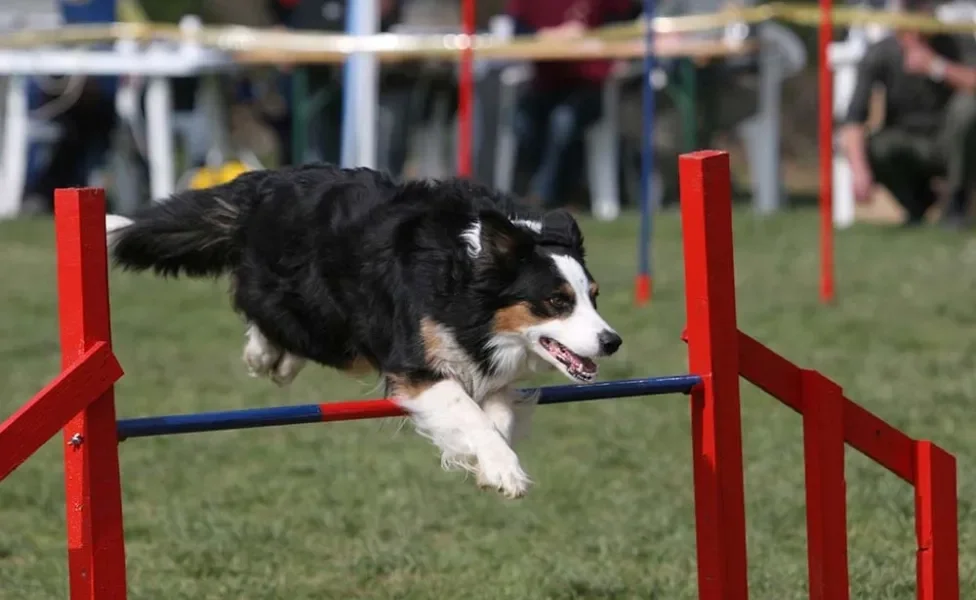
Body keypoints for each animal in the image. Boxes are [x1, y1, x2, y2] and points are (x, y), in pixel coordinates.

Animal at [107, 163, 620, 496]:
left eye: (594, 295)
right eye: (557, 301)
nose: (612, 341)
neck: (468, 281)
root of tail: (264, 182)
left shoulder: (490, 370)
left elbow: (496, 415)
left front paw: (483, 460)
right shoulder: (414, 364)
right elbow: (465, 409)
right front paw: (504, 471)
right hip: (307, 297)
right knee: (268, 315)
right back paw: (263, 354)